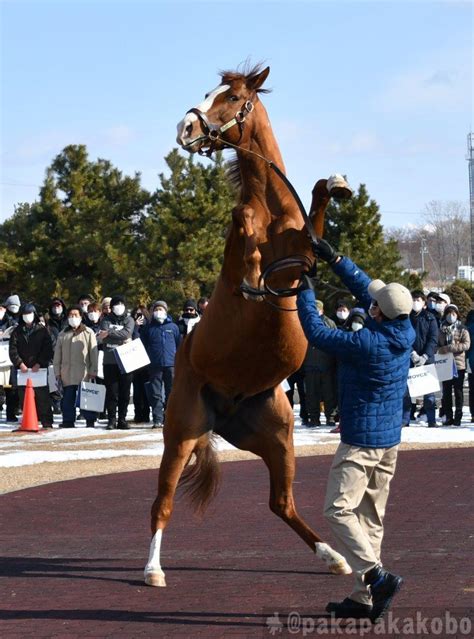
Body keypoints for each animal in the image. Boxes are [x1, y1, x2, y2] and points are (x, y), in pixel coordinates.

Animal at [144, 63, 352, 584]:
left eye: (233, 97)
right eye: (209, 92)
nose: (186, 129)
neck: (274, 212)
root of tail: (225, 410)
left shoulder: (304, 253)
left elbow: (318, 198)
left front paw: (337, 182)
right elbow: (241, 219)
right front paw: (252, 278)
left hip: (277, 436)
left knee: (282, 503)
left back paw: (334, 556)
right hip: (181, 431)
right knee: (162, 503)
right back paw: (152, 569)